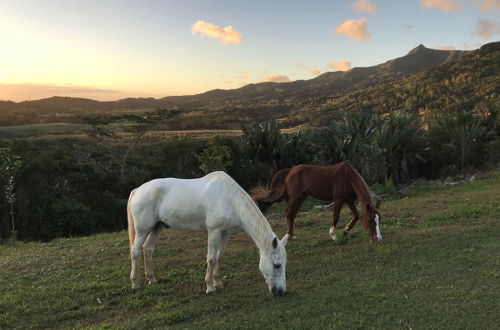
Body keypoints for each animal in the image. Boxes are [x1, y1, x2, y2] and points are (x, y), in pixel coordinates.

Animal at [127, 171, 290, 296]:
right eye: (277, 265)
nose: (281, 291)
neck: (229, 198)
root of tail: (137, 190)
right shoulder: (214, 231)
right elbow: (211, 258)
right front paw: (210, 287)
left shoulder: (225, 233)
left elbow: (219, 257)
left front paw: (218, 283)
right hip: (143, 230)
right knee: (135, 252)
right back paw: (135, 284)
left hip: (157, 227)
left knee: (148, 249)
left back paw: (152, 279)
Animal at [252, 162, 380, 242]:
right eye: (370, 220)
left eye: (379, 219)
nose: (378, 239)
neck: (347, 177)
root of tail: (291, 170)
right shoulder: (338, 200)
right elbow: (335, 217)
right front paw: (333, 235)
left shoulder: (349, 199)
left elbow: (356, 215)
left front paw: (346, 230)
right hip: (296, 197)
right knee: (289, 213)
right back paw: (289, 236)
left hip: (301, 197)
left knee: (292, 214)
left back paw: (291, 236)